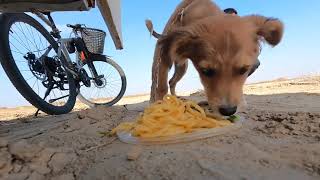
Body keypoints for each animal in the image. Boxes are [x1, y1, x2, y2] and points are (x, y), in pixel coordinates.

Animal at [146, 0, 284, 116]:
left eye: (244, 70)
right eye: (206, 71)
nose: (228, 111)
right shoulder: (165, 55)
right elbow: (161, 87)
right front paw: (159, 107)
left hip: (182, 67)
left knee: (172, 81)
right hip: (159, 61)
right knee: (155, 83)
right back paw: (153, 101)